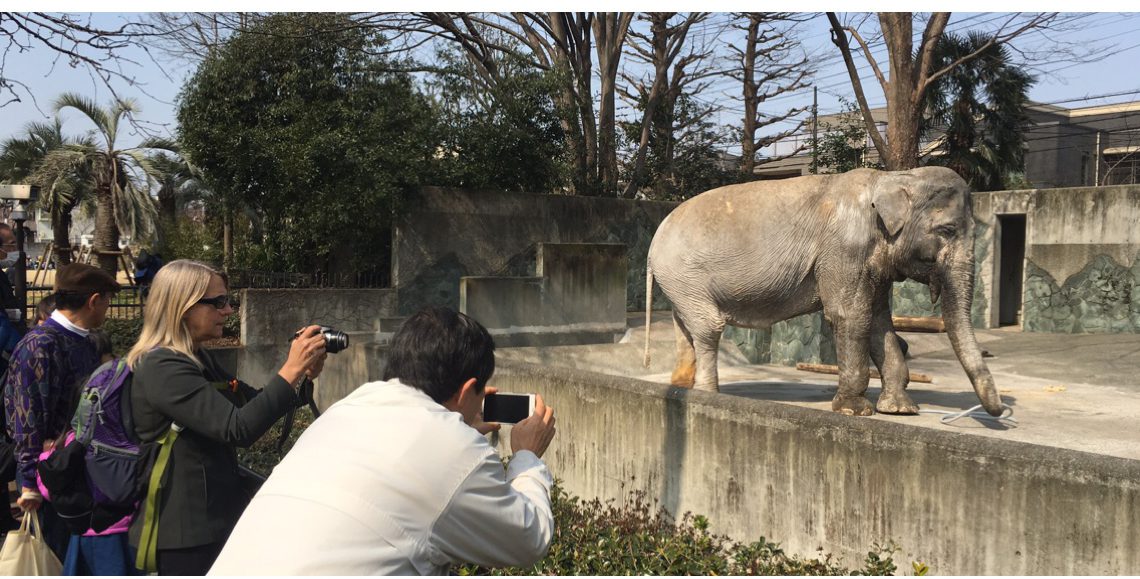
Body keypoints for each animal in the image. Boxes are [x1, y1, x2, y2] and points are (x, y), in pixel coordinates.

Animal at [643, 166, 1003, 417]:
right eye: (947, 230)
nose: (999, 411)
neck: (892, 177)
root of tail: (653, 242)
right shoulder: (844, 248)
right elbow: (850, 315)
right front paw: (855, 411)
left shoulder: (872, 260)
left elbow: (878, 321)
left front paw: (900, 410)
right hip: (686, 275)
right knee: (708, 328)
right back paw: (707, 394)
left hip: (680, 283)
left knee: (685, 328)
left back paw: (680, 387)